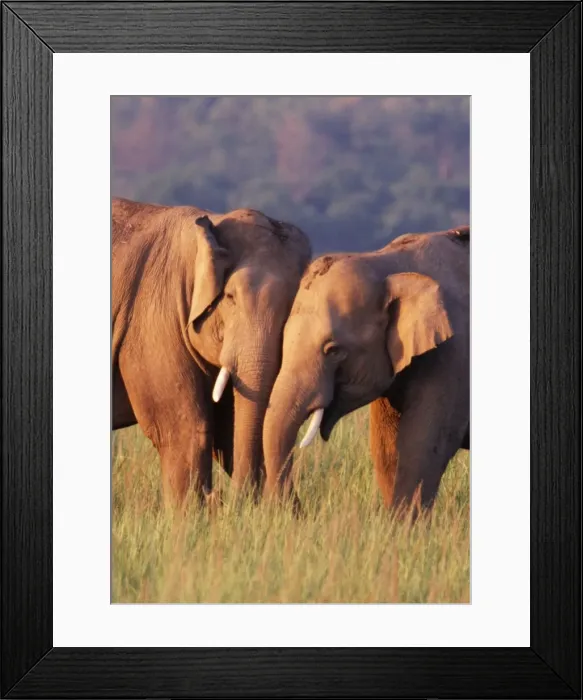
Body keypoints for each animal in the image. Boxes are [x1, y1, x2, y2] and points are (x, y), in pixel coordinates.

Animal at [112, 197, 311, 504]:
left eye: (295, 306)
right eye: (230, 297)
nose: (221, 497)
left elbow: (228, 430)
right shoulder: (152, 324)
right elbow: (183, 432)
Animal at [263, 226, 469, 513]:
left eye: (333, 350)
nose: (300, 511)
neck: (389, 264)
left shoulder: (452, 355)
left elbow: (423, 445)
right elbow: (386, 448)